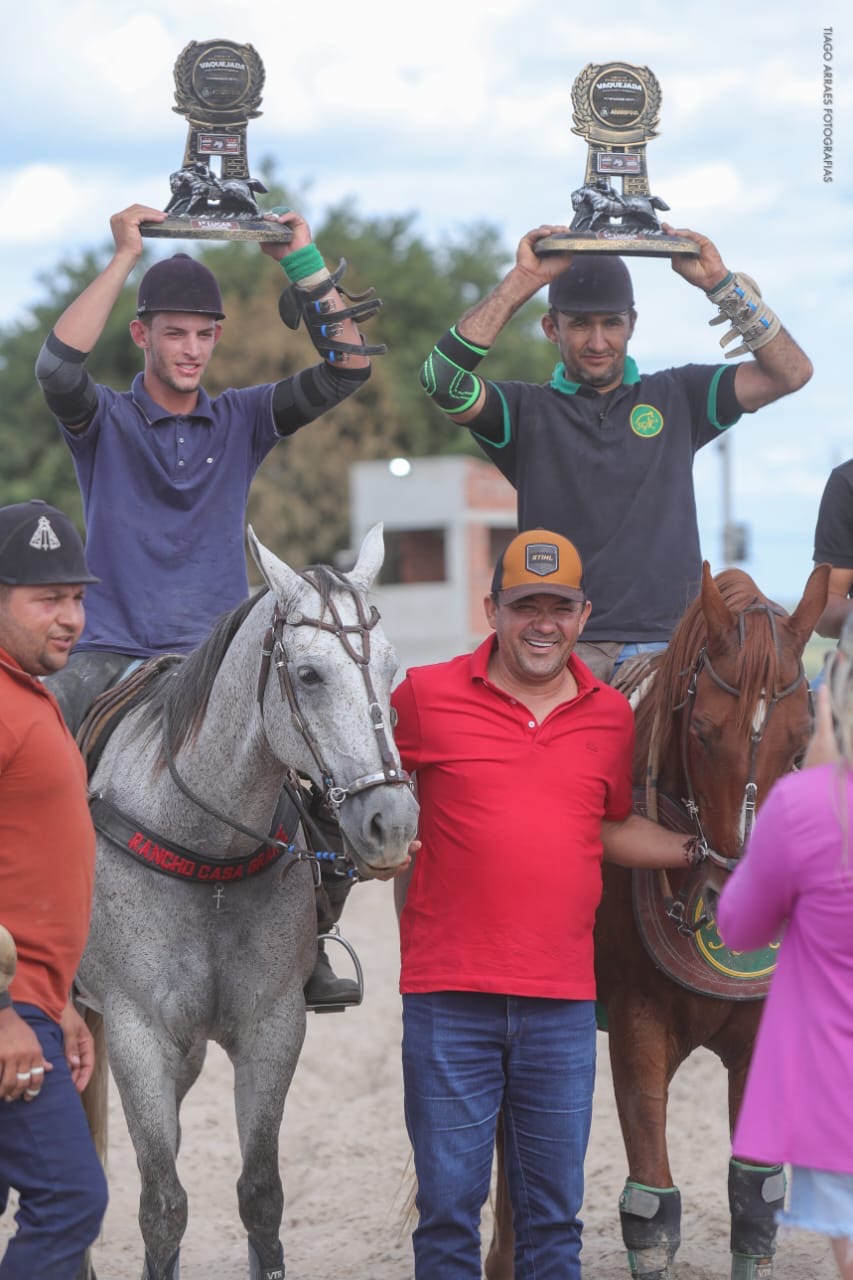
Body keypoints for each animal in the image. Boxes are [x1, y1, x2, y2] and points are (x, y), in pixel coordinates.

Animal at [74, 524, 417, 1280]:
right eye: (310, 675)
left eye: (391, 669)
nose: (393, 822)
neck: (208, 856)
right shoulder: (139, 1034)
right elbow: (163, 1205)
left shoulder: (271, 1028)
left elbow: (260, 1195)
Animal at [489, 563, 824, 1280]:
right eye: (701, 731)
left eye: (800, 739)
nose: (742, 903)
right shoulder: (636, 1024)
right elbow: (651, 1205)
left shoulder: (758, 1034)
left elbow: (755, 1197)